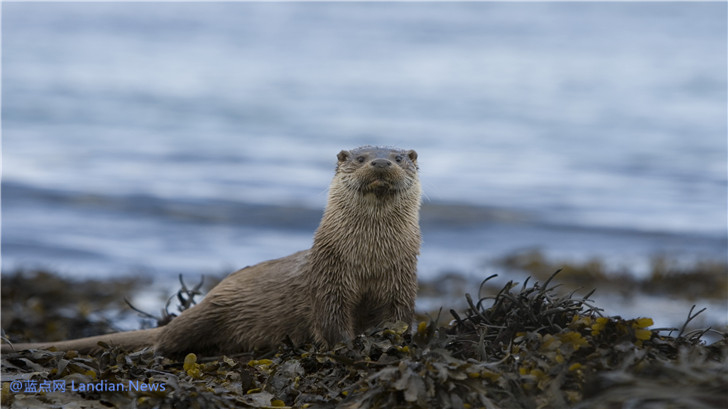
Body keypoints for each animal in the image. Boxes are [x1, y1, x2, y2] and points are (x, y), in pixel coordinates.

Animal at [1, 145, 420, 356]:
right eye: (360, 158)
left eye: (399, 158)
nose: (381, 161)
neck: (368, 260)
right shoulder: (328, 280)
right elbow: (332, 324)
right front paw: (350, 347)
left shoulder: (402, 281)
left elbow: (397, 318)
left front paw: (388, 340)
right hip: (213, 310)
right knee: (168, 339)